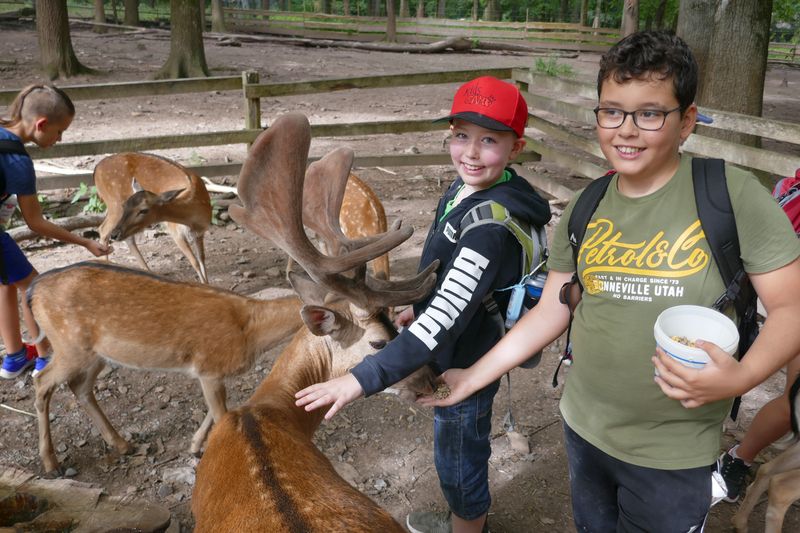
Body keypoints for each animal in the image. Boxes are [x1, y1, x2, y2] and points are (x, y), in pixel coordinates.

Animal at [94, 152, 212, 283]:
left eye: (144, 210)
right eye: (126, 205)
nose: (115, 234)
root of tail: (96, 170)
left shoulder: (201, 231)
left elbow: (202, 259)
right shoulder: (175, 231)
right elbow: (194, 262)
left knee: (124, 236)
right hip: (114, 205)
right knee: (103, 229)